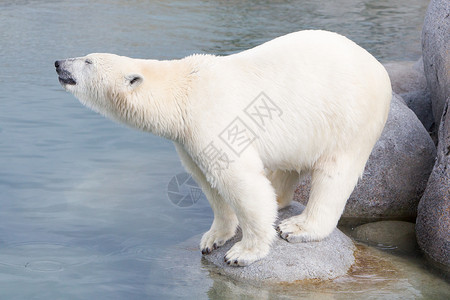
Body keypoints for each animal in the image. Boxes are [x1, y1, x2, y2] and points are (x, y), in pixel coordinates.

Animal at [56, 29, 392, 264]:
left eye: (87, 60)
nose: (59, 62)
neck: (183, 92)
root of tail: (379, 68)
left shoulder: (214, 117)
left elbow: (239, 180)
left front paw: (243, 252)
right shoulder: (187, 139)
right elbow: (207, 180)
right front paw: (213, 238)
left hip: (350, 118)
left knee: (334, 174)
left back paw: (298, 227)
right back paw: (279, 196)